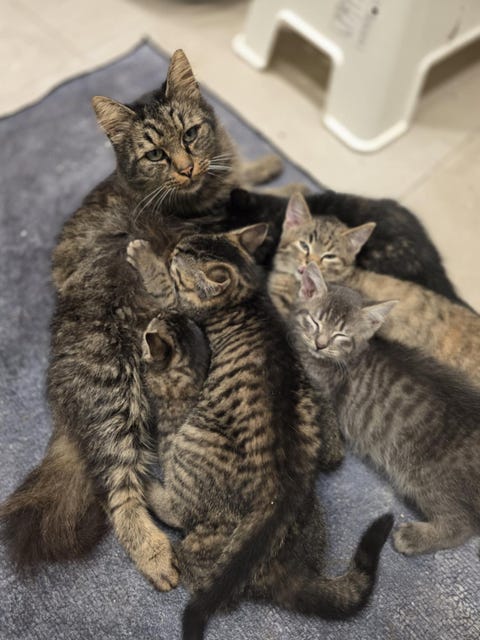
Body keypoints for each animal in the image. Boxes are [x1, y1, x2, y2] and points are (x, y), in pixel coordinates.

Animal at [0, 49, 288, 587]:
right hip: (117, 400)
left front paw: (263, 162)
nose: (187, 167)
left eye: (190, 135)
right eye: (155, 155)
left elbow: (241, 171)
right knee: (118, 493)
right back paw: (156, 555)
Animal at [126, 224, 393, 640]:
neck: (249, 294)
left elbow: (161, 288)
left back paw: (157, 498)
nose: (173, 247)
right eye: (187, 241)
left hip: (193, 441)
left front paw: (144, 255)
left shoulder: (181, 309)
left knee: (185, 527)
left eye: (180, 258)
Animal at [293, 261, 480, 557]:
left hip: (426, 476)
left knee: (462, 524)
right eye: (315, 321)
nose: (319, 343)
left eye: (341, 335)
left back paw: (414, 537)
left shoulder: (321, 388)